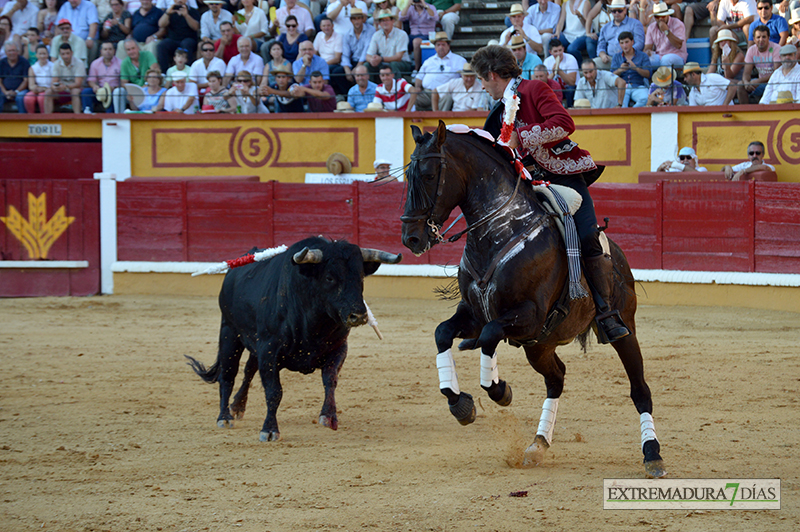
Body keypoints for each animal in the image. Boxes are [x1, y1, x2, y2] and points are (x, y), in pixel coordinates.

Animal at [186, 237, 400, 440]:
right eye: (329, 277)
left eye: (361, 277)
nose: (359, 315)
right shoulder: (269, 350)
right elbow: (273, 391)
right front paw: (269, 430)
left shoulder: (338, 348)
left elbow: (330, 380)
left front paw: (329, 416)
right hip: (229, 333)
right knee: (227, 375)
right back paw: (224, 417)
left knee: (248, 370)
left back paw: (237, 406)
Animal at [400, 121, 668, 478]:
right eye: (408, 175)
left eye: (429, 175)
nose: (411, 238)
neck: (499, 230)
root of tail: (618, 255)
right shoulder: (474, 314)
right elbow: (442, 332)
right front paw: (460, 403)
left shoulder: (528, 314)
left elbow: (489, 338)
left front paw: (500, 390)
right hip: (540, 345)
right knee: (556, 378)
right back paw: (538, 444)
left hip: (623, 328)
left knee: (639, 389)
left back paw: (652, 453)